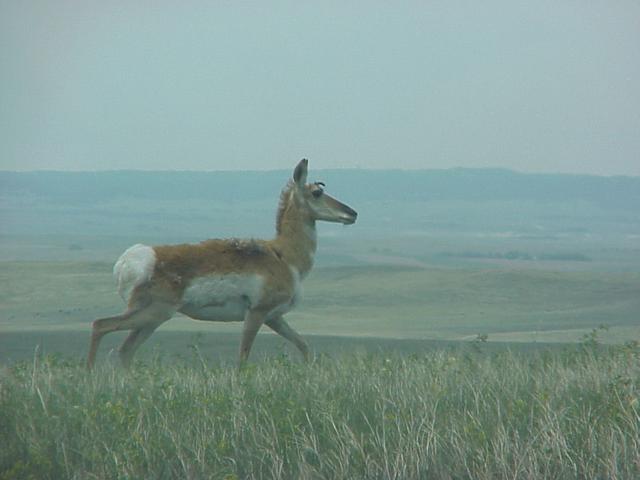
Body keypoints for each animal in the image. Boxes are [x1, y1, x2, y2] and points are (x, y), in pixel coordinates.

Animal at [85, 159, 358, 370]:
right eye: (317, 193)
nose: (352, 213)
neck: (283, 254)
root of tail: (130, 260)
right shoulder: (256, 314)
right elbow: (242, 358)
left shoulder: (274, 317)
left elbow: (304, 345)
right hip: (154, 313)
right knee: (101, 325)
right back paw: (90, 377)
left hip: (152, 320)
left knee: (125, 349)